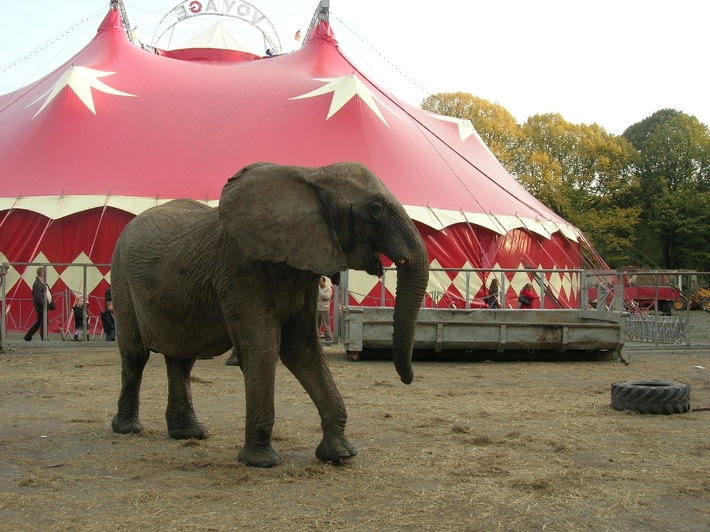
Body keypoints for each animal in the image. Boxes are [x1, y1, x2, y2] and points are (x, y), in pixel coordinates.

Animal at [111, 161, 432, 466]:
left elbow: (302, 349)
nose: (407, 378)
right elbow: (263, 348)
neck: (311, 176)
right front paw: (261, 461)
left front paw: (340, 454)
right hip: (121, 275)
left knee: (182, 359)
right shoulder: (240, 269)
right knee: (136, 355)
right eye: (375, 210)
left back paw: (188, 433)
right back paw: (128, 429)